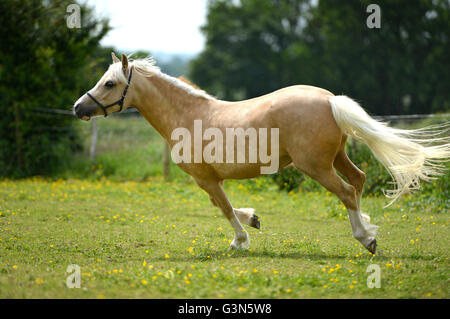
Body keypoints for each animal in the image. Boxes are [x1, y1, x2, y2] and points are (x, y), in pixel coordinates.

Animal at [74, 53, 450, 255]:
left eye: (109, 83)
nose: (78, 108)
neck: (187, 115)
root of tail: (329, 99)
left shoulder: (204, 178)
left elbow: (224, 207)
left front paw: (239, 240)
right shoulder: (210, 178)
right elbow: (223, 204)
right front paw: (253, 219)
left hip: (316, 166)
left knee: (345, 192)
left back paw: (366, 238)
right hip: (338, 157)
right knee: (357, 182)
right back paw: (368, 225)